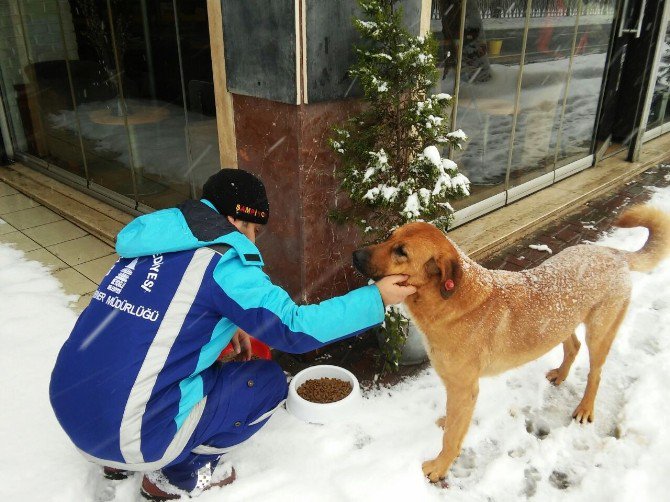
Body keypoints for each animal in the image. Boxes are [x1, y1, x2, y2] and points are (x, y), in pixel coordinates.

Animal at [354, 203, 668, 482]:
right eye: (390, 236)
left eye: (401, 252)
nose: (355, 255)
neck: (450, 300)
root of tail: (613, 253)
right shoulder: (455, 386)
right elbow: (452, 419)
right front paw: (446, 423)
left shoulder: (465, 388)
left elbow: (453, 436)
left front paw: (440, 466)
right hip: (561, 322)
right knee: (573, 346)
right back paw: (561, 374)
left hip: (600, 333)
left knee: (596, 372)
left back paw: (585, 408)